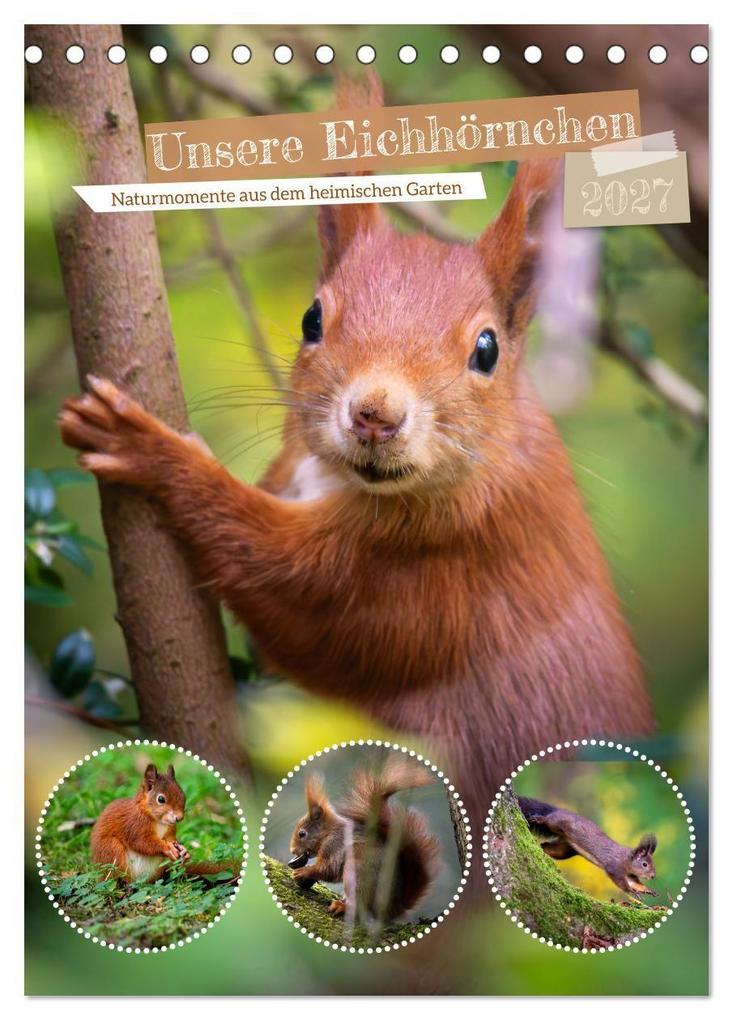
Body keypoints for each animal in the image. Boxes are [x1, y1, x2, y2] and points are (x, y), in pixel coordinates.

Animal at [58, 74, 653, 827]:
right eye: (312, 317)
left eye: (487, 349)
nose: (375, 415)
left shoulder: (438, 564)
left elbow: (292, 591)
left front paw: (147, 447)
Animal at [90, 763, 239, 882]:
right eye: (161, 799)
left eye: (183, 795)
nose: (179, 818)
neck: (158, 821)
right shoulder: (134, 825)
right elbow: (142, 842)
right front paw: (167, 848)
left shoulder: (170, 830)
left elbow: (170, 838)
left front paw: (184, 850)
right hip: (111, 850)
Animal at [286, 758, 441, 921]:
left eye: (302, 834)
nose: (292, 850)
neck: (328, 832)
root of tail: (390, 908)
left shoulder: (334, 845)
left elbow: (328, 868)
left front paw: (303, 872)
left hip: (358, 873)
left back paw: (342, 906)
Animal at [518, 795, 658, 899]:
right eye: (645, 864)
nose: (653, 876)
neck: (627, 859)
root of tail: (559, 810)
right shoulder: (615, 867)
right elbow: (621, 882)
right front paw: (631, 891)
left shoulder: (629, 874)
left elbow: (634, 882)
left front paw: (647, 889)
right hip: (558, 823)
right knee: (548, 820)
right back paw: (538, 818)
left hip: (564, 849)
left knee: (547, 847)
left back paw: (540, 849)